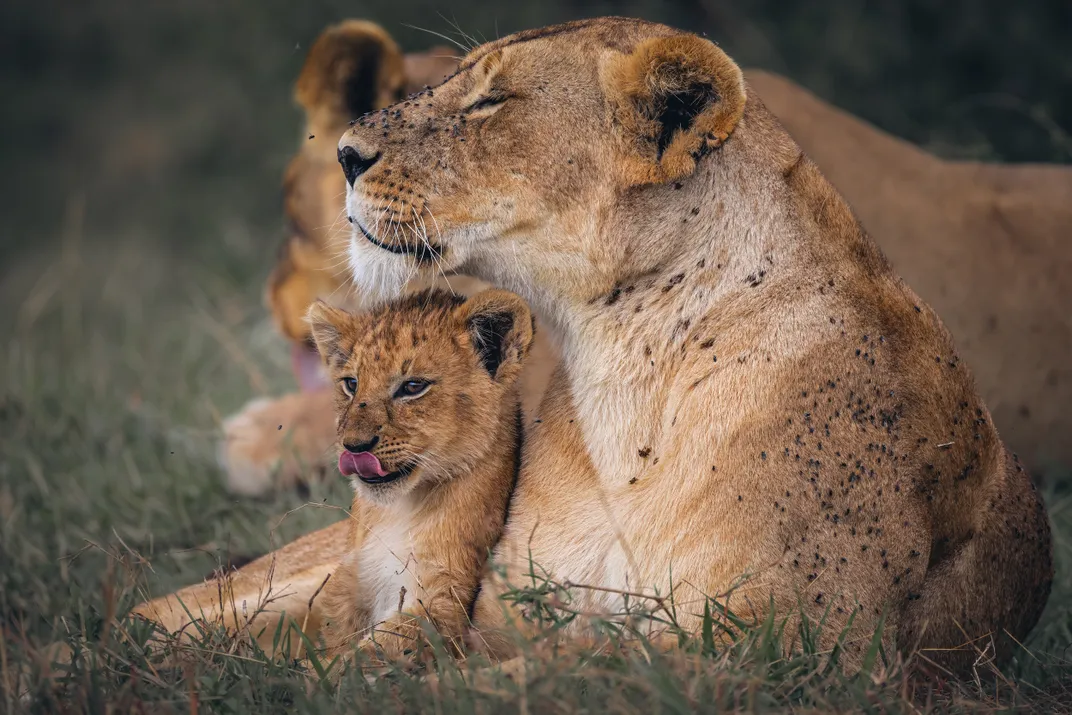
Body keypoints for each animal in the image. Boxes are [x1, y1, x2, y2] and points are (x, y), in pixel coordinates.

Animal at [326, 17, 1051, 674]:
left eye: (490, 100)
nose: (344, 154)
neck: (622, 366)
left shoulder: (792, 652)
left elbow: (557, 674)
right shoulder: (502, 615)